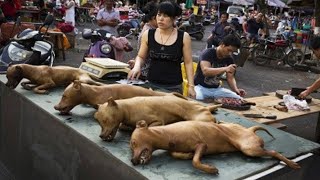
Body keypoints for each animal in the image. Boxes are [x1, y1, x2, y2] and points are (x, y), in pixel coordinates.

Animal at [129, 120, 300, 174]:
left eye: (133, 143)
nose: (132, 161)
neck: (166, 135)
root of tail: (249, 130)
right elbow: (176, 154)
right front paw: (186, 155)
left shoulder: (202, 145)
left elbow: (195, 161)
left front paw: (210, 169)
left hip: (249, 148)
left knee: (274, 152)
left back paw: (291, 163)